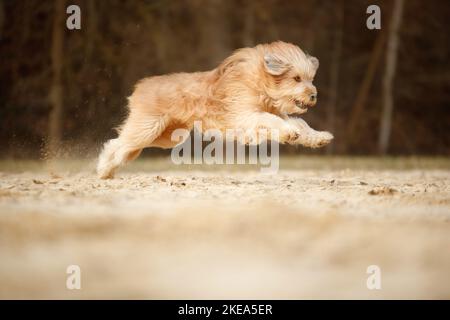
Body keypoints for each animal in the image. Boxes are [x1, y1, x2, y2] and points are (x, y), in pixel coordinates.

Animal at [96, 40, 334, 179]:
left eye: (310, 79)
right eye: (296, 78)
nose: (313, 95)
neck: (259, 83)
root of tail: (140, 87)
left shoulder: (274, 113)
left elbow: (300, 124)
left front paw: (319, 137)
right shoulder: (245, 116)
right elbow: (271, 120)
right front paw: (288, 133)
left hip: (166, 137)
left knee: (125, 147)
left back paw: (109, 170)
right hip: (147, 128)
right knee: (117, 144)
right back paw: (104, 169)